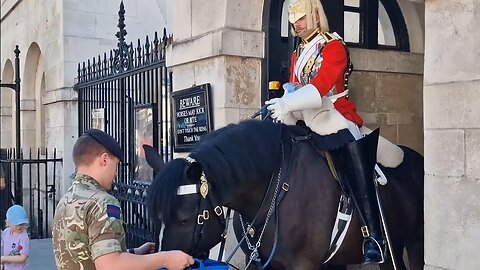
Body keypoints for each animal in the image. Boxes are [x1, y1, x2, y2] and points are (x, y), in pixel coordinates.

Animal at [146, 121, 424, 270]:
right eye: (156, 218)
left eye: (184, 220)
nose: (163, 262)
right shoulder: (260, 263)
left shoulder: (303, 264)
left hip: (415, 241)